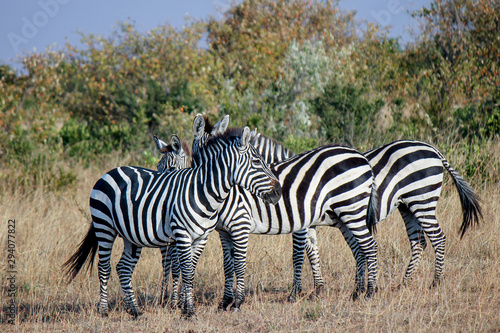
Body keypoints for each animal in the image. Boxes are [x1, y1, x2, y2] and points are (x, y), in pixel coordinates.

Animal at [61, 116, 282, 316]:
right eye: (257, 161)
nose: (279, 192)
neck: (203, 192)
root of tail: (110, 171)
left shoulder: (201, 237)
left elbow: (190, 271)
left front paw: (184, 306)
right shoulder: (181, 235)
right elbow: (184, 270)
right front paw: (187, 310)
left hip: (131, 235)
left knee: (123, 268)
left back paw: (134, 310)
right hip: (104, 226)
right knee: (104, 266)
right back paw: (103, 310)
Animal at [156, 121, 378, 312]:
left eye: (169, 168)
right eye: (159, 168)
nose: (161, 202)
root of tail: (361, 157)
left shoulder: (245, 224)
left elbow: (284, 257)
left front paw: (239, 302)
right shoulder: (224, 231)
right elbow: (228, 265)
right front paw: (225, 302)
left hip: (352, 208)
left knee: (370, 246)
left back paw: (370, 292)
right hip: (345, 214)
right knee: (359, 249)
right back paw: (357, 292)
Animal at [298, 139, 482, 292]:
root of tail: (432, 149)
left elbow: (305, 252)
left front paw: (307, 290)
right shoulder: (309, 222)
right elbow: (312, 252)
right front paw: (318, 288)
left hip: (422, 200)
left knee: (438, 238)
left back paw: (435, 282)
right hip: (407, 206)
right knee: (419, 242)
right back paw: (404, 283)